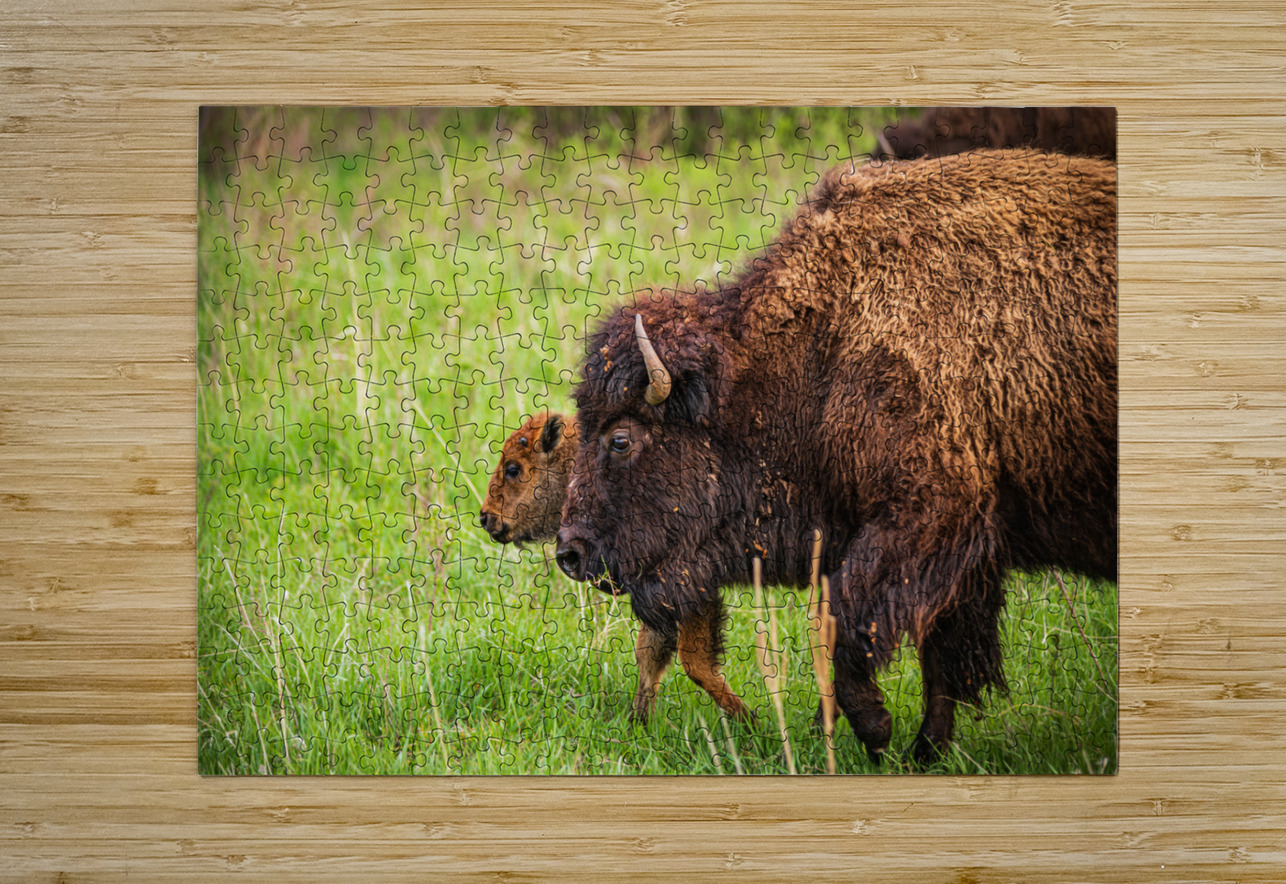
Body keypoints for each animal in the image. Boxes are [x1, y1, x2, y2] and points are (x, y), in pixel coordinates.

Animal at [555, 149, 1117, 764]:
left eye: (621, 439)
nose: (569, 554)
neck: (819, 350)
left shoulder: (926, 519)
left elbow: (847, 627)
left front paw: (878, 731)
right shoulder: (963, 555)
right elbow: (941, 656)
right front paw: (922, 751)